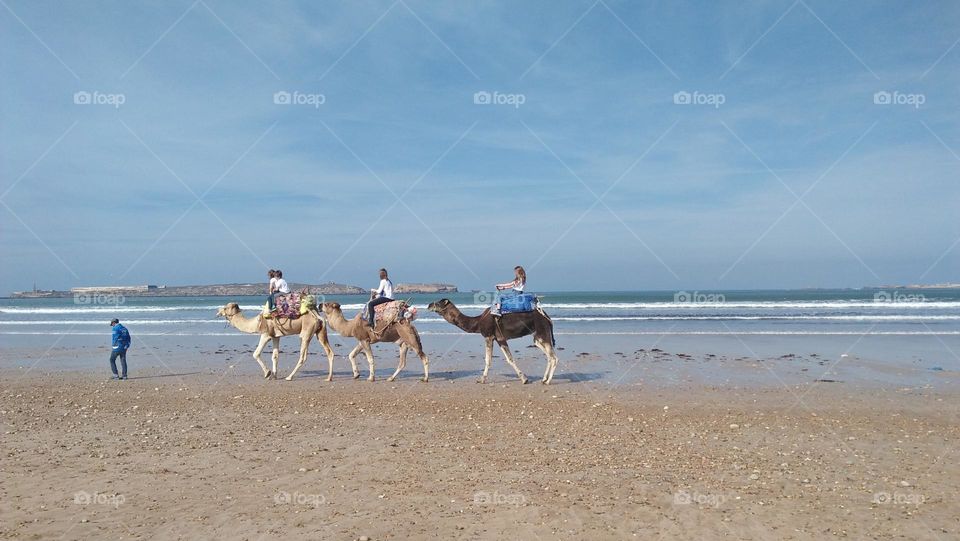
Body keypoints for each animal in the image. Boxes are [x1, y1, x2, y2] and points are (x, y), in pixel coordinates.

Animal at [430, 300, 564, 384]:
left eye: (439, 302)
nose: (429, 305)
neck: (478, 322)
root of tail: (546, 316)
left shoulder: (488, 336)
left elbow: (488, 360)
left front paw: (482, 380)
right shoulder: (500, 339)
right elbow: (510, 359)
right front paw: (524, 379)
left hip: (542, 331)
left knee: (554, 357)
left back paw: (548, 381)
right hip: (538, 337)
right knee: (548, 355)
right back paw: (543, 379)